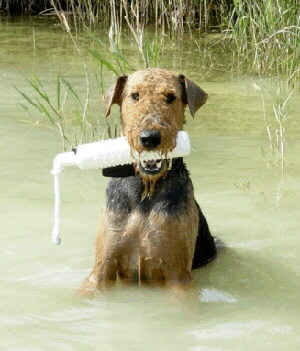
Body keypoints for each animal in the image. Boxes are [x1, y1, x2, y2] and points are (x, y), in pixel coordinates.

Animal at [82, 69, 216, 292]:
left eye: (170, 97)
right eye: (135, 95)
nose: (150, 138)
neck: (144, 191)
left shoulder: (177, 273)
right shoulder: (103, 266)